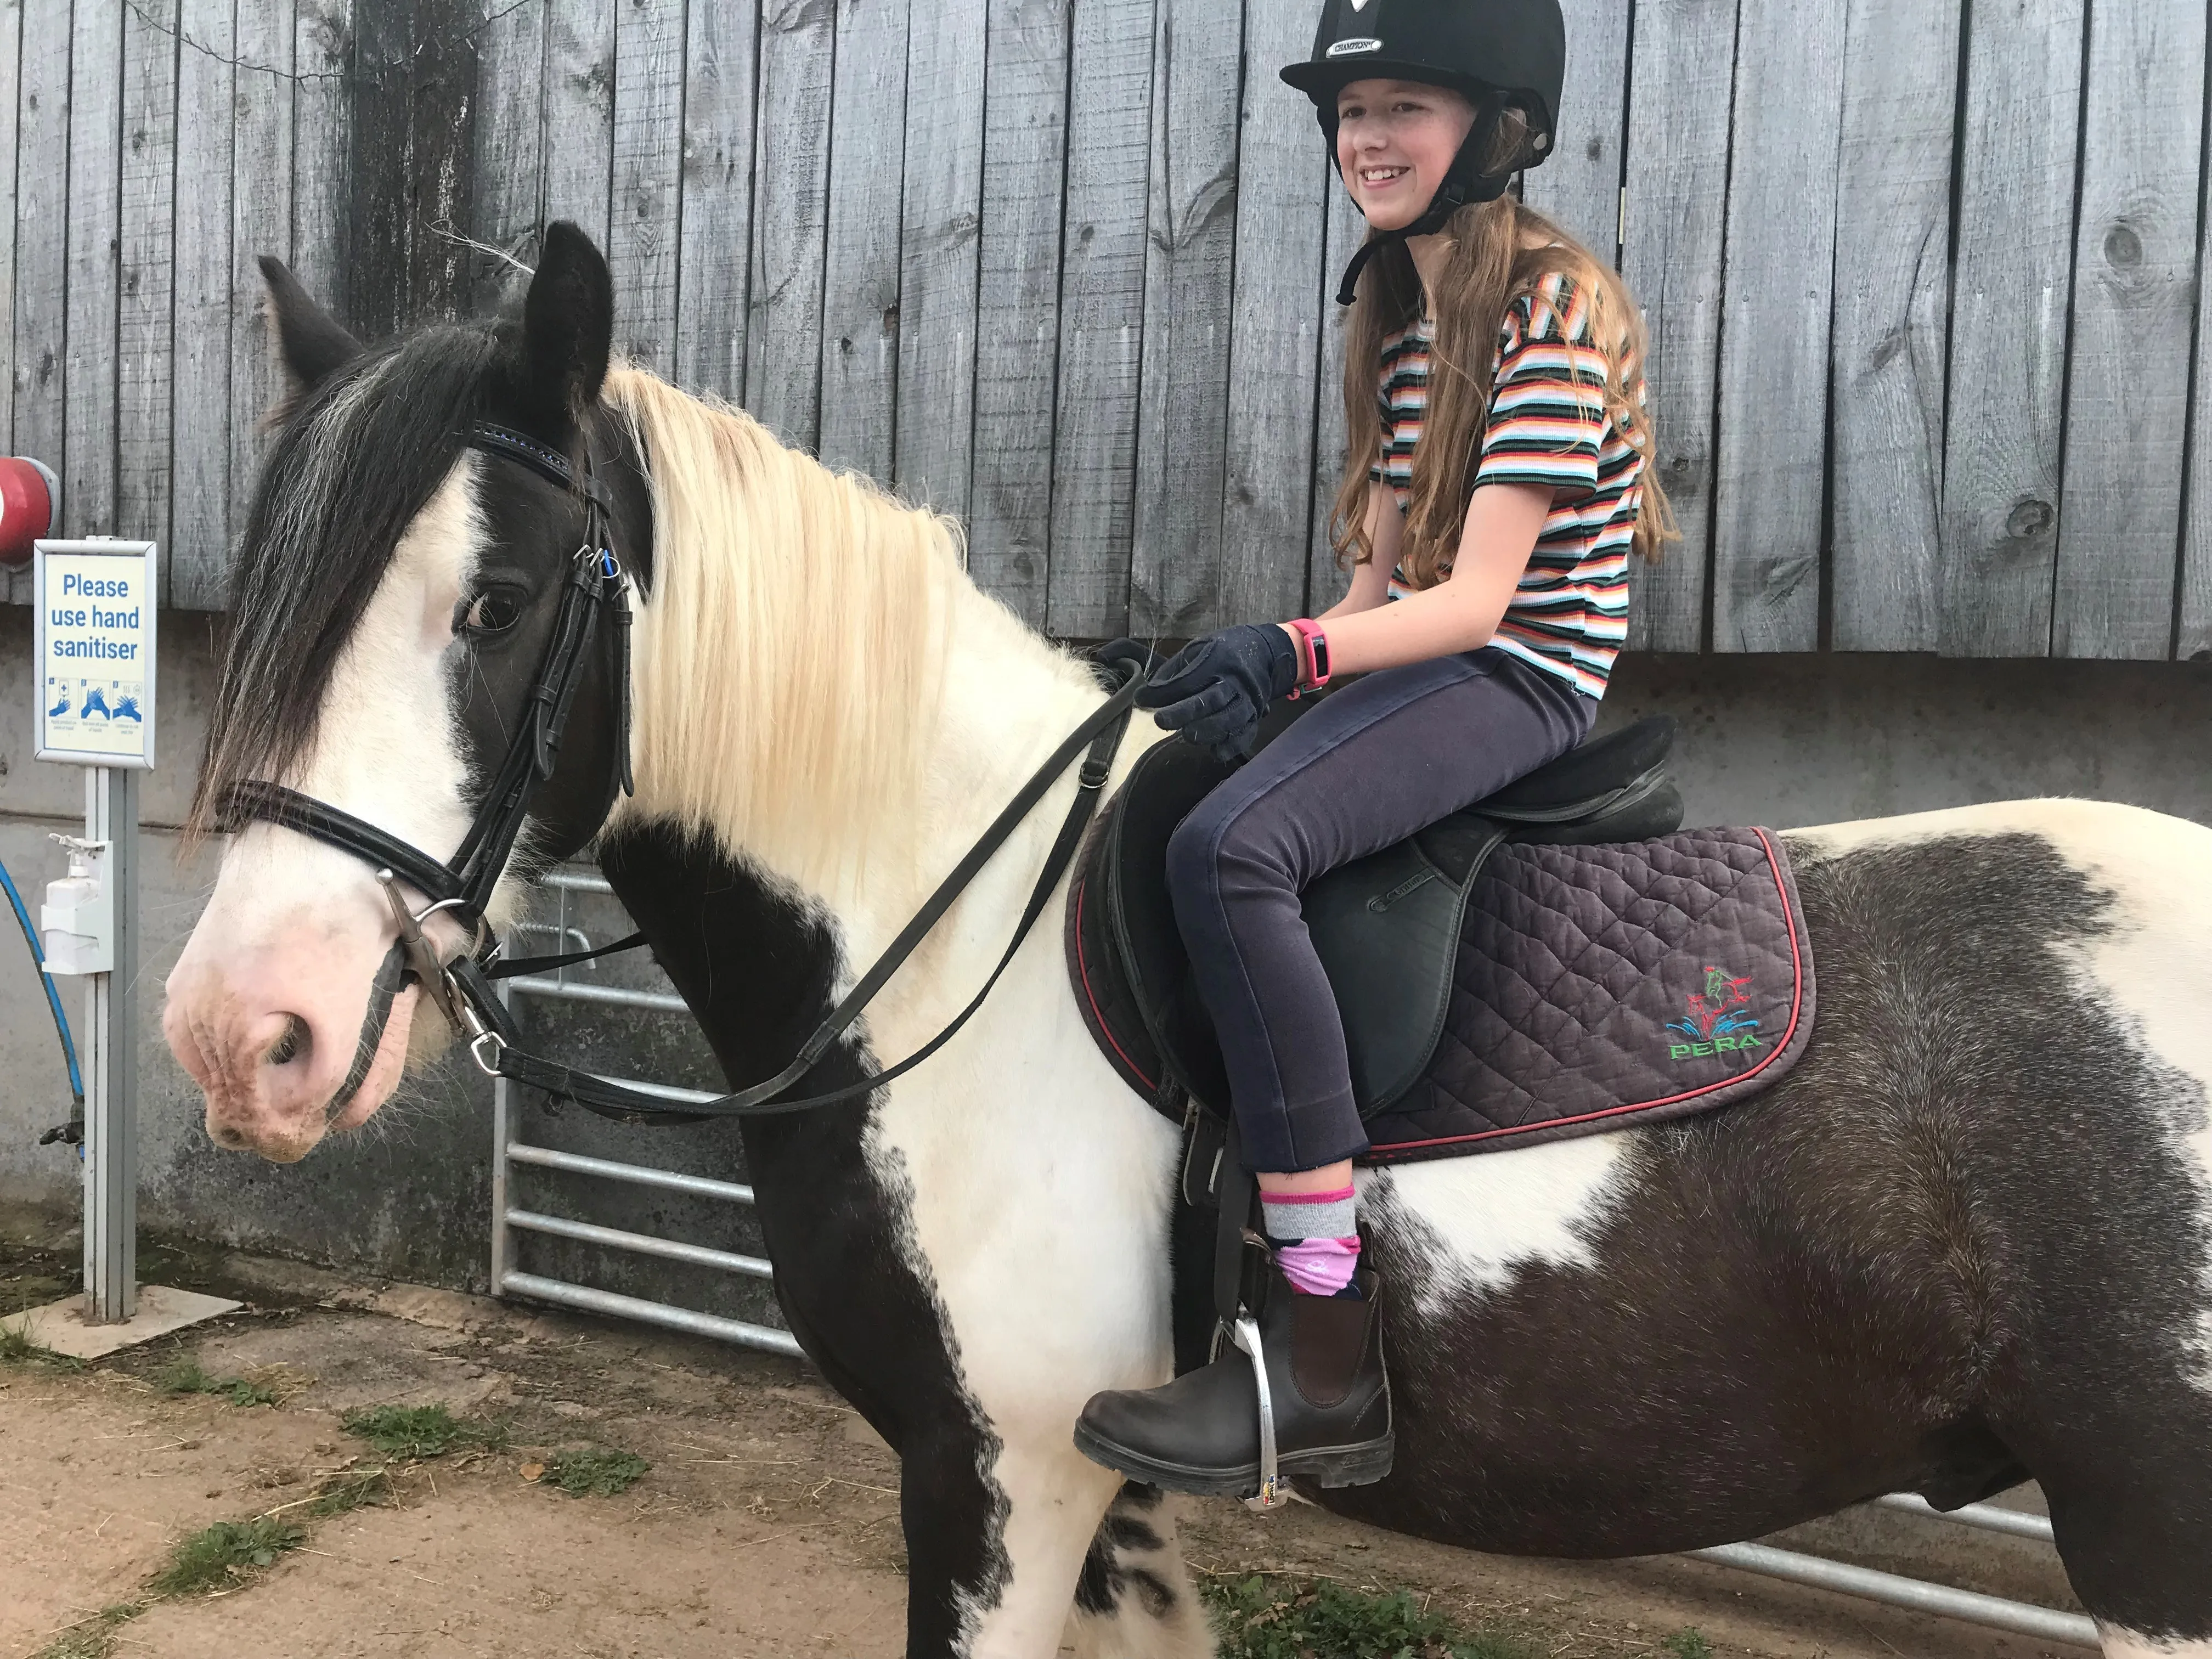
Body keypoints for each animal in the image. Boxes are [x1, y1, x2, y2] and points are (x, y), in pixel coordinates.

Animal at [168, 231, 2212, 1659]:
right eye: (271, 597)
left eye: (497, 603)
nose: (237, 1031)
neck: (949, 934)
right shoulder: (1110, 1494)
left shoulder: (996, 1478)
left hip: (2149, 1541)